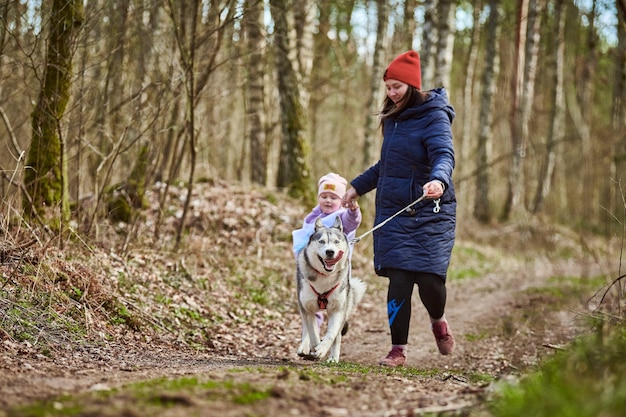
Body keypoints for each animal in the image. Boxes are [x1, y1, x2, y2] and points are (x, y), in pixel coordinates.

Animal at [296, 216, 366, 362]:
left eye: (336, 241)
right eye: (321, 241)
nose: (330, 251)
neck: (325, 277)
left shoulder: (338, 309)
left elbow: (332, 333)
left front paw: (322, 349)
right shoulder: (307, 307)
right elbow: (312, 331)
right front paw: (315, 347)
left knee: (337, 335)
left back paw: (333, 357)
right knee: (306, 327)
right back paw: (305, 347)